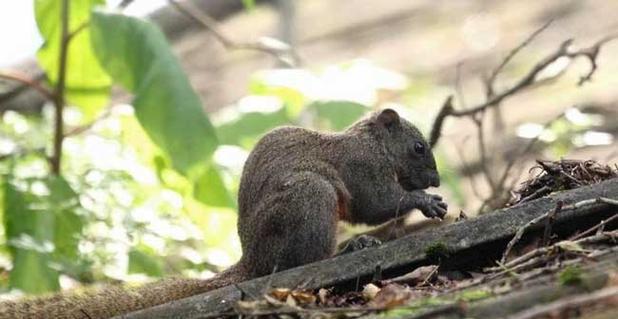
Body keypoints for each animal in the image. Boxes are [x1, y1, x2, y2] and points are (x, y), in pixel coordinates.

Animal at [0, 109, 446, 318]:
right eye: (419, 147)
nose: (437, 180)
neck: (372, 144)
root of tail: (251, 260)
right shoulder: (361, 169)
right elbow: (377, 203)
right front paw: (424, 201)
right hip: (310, 198)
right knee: (299, 261)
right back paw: (351, 247)